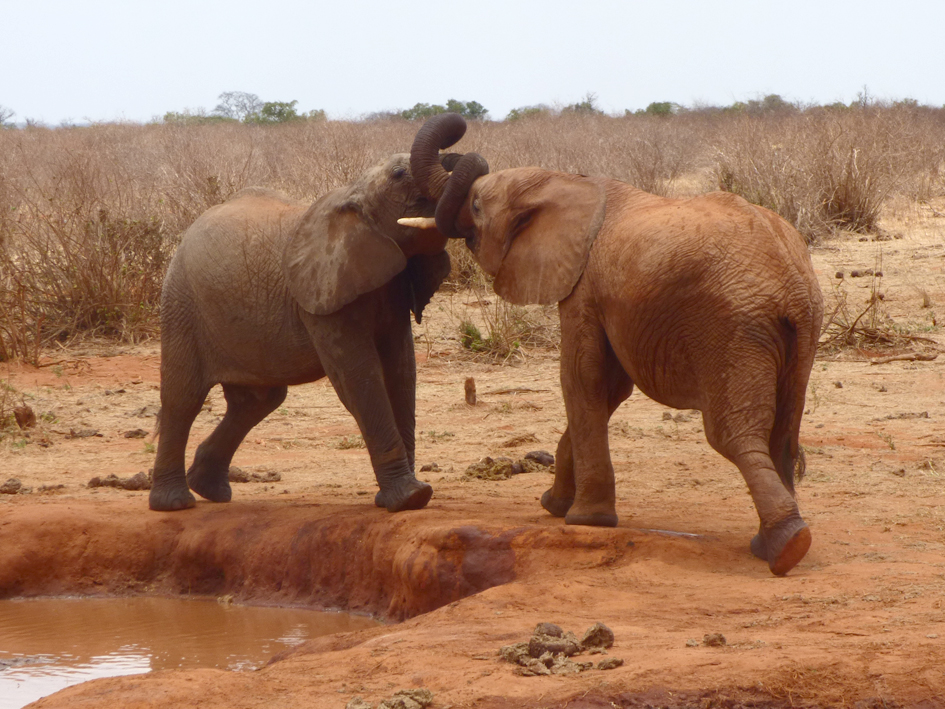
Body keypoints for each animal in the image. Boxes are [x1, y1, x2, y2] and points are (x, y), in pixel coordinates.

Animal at [150, 121, 470, 515]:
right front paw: (410, 498)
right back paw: (174, 503)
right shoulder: (321, 298)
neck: (353, 194)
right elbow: (360, 377)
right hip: (181, 303)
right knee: (183, 398)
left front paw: (404, 498)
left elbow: (401, 371)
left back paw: (209, 489)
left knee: (257, 402)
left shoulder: (392, 288)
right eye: (398, 174)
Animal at [407, 114, 824, 575]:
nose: (457, 140)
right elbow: (608, 389)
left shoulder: (583, 285)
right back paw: (770, 544)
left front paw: (585, 520)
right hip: (801, 334)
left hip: (734, 329)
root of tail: (792, 282)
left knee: (734, 434)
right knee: (782, 434)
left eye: (478, 206)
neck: (564, 180)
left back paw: (788, 547)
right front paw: (555, 506)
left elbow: (581, 378)